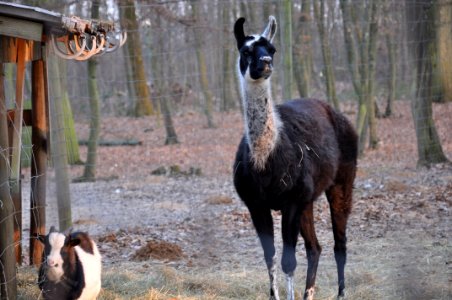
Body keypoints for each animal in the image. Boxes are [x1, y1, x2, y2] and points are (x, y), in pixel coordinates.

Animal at [233, 16, 356, 300]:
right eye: (246, 51)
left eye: (272, 49)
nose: (266, 62)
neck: (265, 162)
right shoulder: (256, 204)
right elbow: (270, 257)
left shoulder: (290, 201)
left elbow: (288, 261)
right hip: (307, 200)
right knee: (315, 248)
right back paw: (308, 293)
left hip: (342, 181)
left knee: (339, 244)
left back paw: (341, 293)